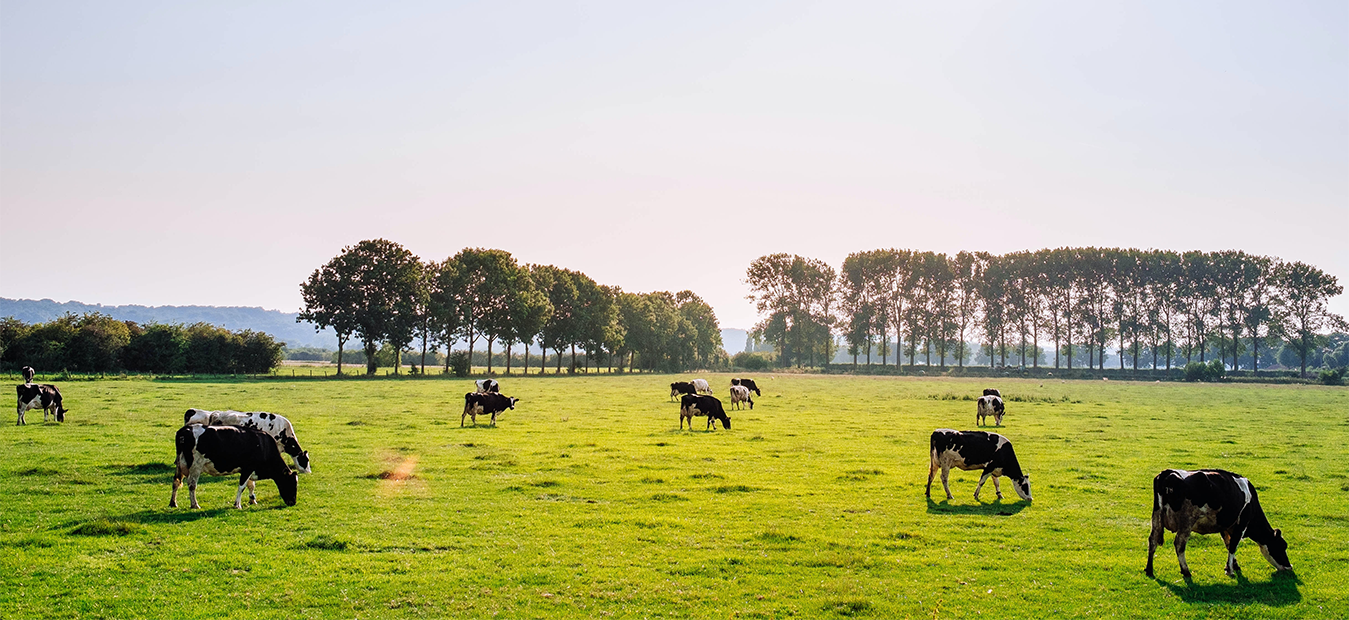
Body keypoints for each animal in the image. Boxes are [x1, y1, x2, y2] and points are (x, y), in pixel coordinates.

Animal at [1146, 469, 1292, 578]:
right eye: (1281, 546)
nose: (1289, 567)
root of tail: (1167, 472)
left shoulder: (1225, 526)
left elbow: (1228, 544)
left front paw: (1233, 565)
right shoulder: (1241, 524)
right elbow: (1233, 546)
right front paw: (1230, 570)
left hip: (1156, 517)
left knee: (1153, 540)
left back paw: (1149, 570)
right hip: (1186, 521)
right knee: (1179, 544)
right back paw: (1186, 571)